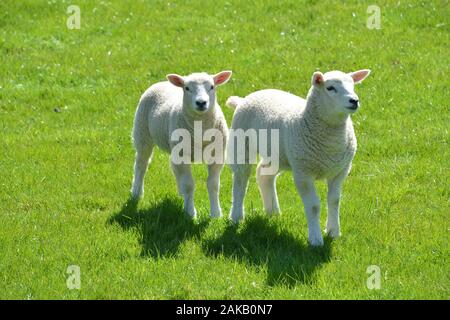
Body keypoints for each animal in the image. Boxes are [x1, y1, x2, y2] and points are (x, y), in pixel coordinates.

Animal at [130, 70, 232, 218]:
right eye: (187, 88)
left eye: (212, 87)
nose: (201, 102)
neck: (200, 129)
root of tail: (162, 82)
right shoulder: (183, 156)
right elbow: (189, 185)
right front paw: (190, 213)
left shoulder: (216, 155)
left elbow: (213, 185)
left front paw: (216, 214)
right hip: (142, 133)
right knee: (141, 164)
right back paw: (136, 193)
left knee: (173, 167)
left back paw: (180, 193)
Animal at [227, 69, 370, 245]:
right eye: (330, 88)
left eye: (353, 85)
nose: (354, 101)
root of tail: (243, 99)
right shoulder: (303, 173)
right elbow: (314, 206)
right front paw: (316, 239)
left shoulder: (340, 171)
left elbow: (334, 200)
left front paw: (333, 232)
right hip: (241, 144)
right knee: (240, 181)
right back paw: (236, 216)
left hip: (278, 155)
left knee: (264, 175)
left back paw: (273, 212)